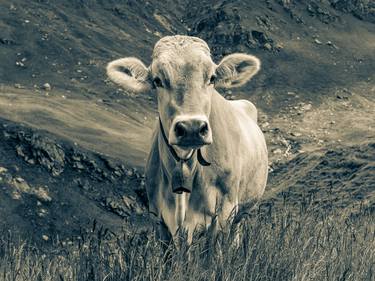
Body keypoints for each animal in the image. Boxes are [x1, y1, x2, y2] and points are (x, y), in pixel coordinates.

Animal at [107, 35, 268, 243]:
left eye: (212, 78)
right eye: (158, 80)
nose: (192, 128)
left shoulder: (224, 211)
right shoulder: (160, 219)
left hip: (241, 213)